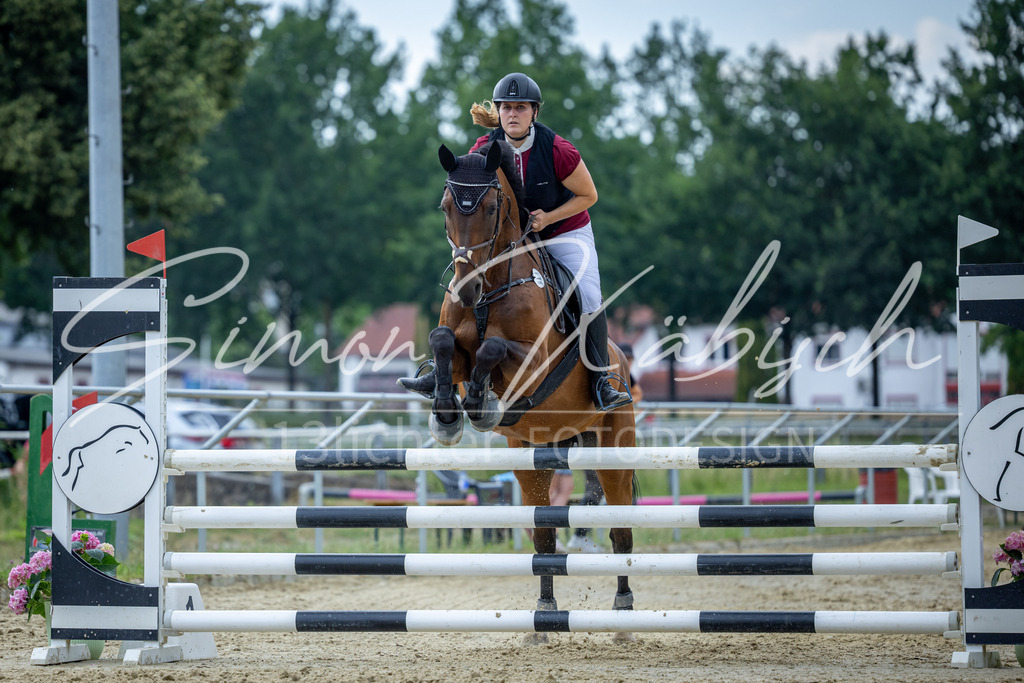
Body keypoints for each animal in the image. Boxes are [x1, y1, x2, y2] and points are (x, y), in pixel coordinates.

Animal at [418, 139, 638, 643]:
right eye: (445, 207)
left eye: (491, 207)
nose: (466, 287)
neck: (491, 289)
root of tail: (622, 362)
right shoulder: (456, 349)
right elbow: (444, 343)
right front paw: (448, 414)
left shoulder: (533, 363)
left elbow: (494, 348)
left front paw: (481, 406)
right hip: (531, 460)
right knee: (544, 534)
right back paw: (545, 613)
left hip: (614, 452)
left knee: (621, 531)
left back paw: (623, 614)